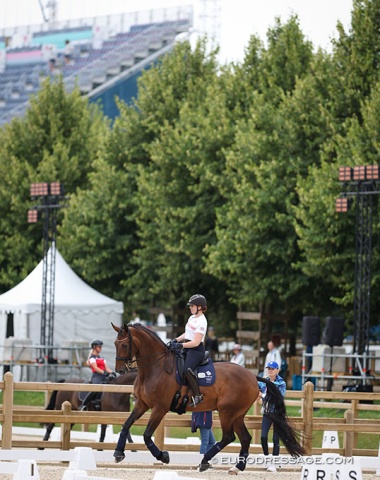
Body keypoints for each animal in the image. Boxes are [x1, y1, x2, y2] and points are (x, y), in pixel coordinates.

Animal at [110, 322, 306, 472]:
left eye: (125, 345)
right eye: (115, 343)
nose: (119, 370)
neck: (155, 368)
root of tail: (252, 376)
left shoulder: (159, 408)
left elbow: (146, 435)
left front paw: (163, 456)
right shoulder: (142, 404)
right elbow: (126, 424)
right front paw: (118, 453)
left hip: (227, 411)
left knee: (229, 437)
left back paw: (205, 461)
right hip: (237, 415)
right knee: (245, 438)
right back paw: (237, 467)